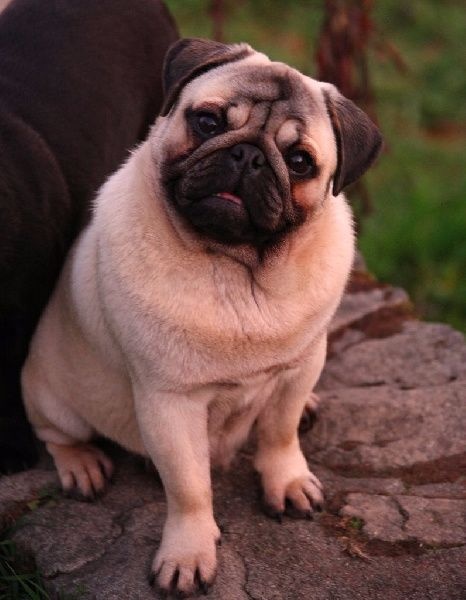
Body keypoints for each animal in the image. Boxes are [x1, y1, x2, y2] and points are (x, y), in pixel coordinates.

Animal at [21, 38, 382, 596]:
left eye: (300, 161)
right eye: (208, 122)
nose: (249, 153)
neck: (238, 272)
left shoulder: (301, 367)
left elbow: (279, 433)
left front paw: (287, 481)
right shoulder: (170, 402)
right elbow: (190, 488)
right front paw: (188, 554)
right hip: (52, 399)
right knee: (57, 435)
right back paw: (82, 466)